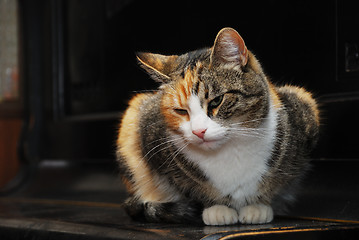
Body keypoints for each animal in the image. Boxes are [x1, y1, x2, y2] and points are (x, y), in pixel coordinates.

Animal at [116, 27, 320, 226]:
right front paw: (216, 208)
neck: (230, 150)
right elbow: (190, 188)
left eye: (217, 101)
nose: (198, 131)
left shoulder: (304, 107)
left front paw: (258, 206)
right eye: (181, 111)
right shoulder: (149, 135)